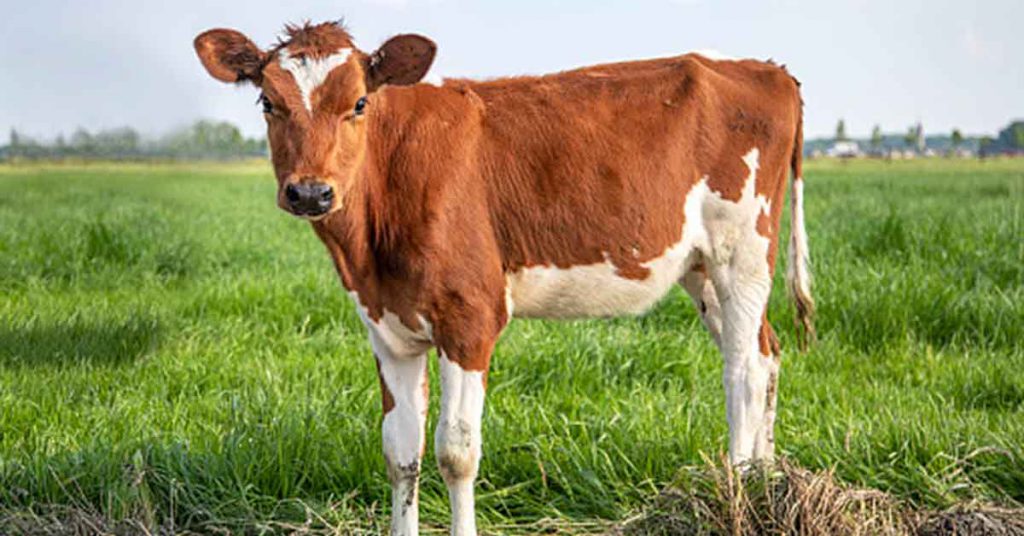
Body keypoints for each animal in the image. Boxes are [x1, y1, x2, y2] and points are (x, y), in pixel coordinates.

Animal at [194, 20, 814, 536]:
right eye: (268, 101)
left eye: (360, 102)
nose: (310, 192)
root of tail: (767, 68)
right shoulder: (387, 327)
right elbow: (400, 453)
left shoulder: (470, 316)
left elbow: (456, 451)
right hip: (702, 268)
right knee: (766, 352)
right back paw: (769, 485)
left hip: (742, 249)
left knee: (743, 371)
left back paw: (738, 494)